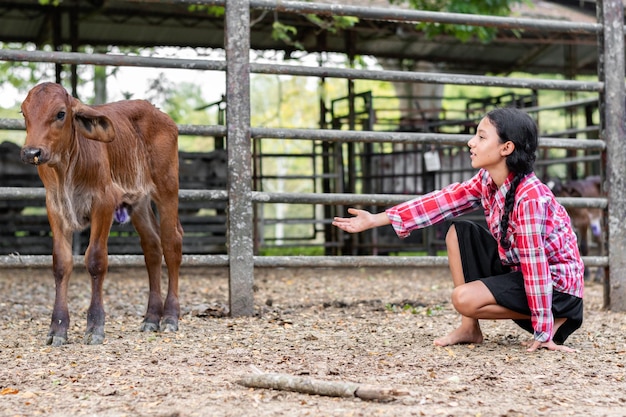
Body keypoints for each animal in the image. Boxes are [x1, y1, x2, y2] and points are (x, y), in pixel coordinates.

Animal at [19, 82, 184, 344]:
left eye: (60, 113)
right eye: (24, 113)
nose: (31, 152)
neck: (66, 169)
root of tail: (158, 113)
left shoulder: (104, 202)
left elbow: (95, 260)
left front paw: (95, 326)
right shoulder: (54, 207)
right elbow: (61, 263)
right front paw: (58, 329)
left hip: (167, 188)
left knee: (171, 243)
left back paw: (170, 317)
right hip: (138, 202)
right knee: (152, 248)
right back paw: (151, 318)